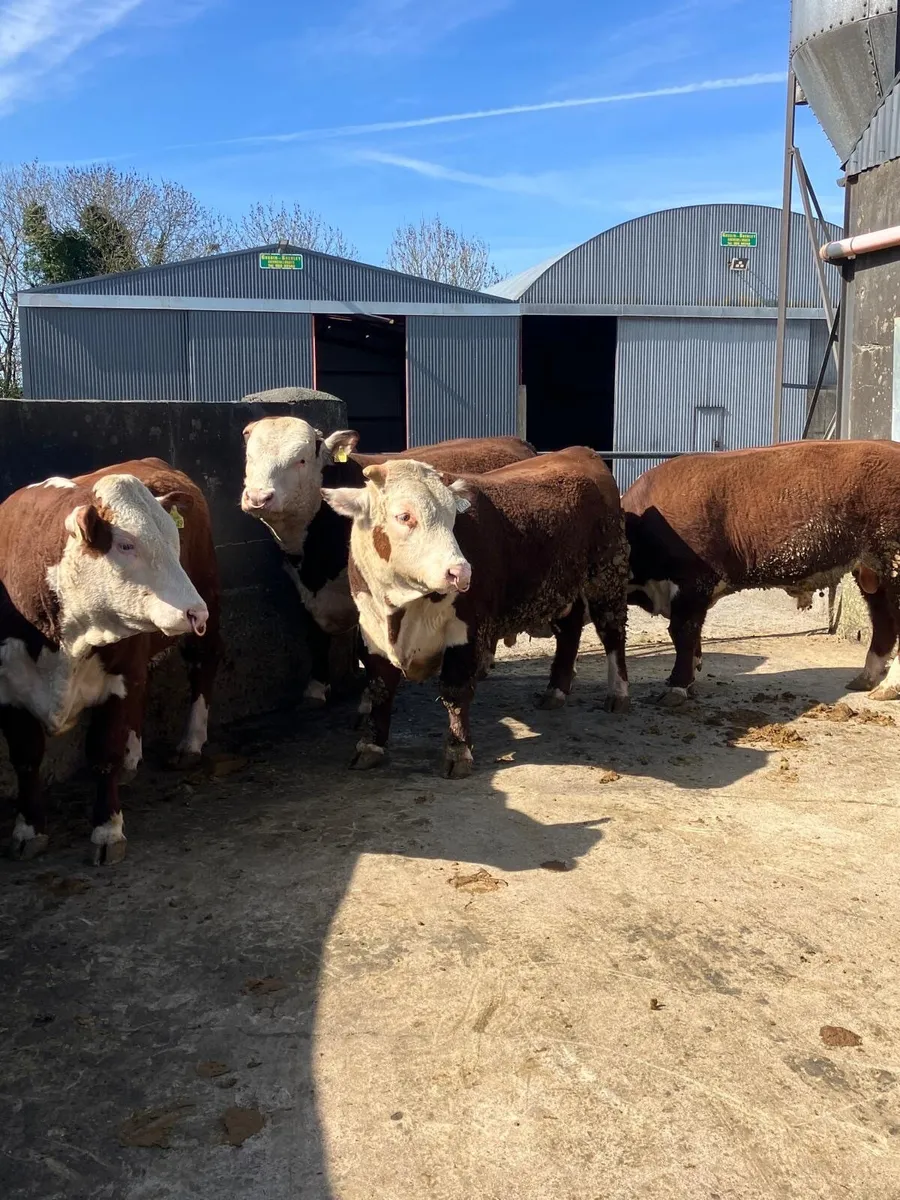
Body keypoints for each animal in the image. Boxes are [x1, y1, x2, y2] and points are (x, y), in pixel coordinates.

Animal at [1, 458, 219, 863]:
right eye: (126, 543)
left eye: (174, 541)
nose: (194, 611)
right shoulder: (8, 689)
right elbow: (25, 758)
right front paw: (28, 829)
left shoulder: (118, 678)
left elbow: (104, 753)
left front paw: (107, 830)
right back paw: (134, 758)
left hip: (207, 598)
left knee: (202, 667)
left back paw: (190, 744)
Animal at [240, 418, 535, 707]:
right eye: (249, 457)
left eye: (300, 460)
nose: (258, 497)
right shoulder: (306, 593)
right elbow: (315, 637)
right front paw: (316, 687)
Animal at [322, 447, 630, 777]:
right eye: (404, 516)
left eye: (453, 517)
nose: (461, 572)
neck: (401, 609)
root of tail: (580, 452)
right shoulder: (372, 630)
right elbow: (380, 688)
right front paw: (371, 745)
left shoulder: (467, 629)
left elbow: (455, 691)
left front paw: (458, 751)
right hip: (562, 587)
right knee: (569, 632)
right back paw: (555, 691)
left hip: (607, 576)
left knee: (612, 633)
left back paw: (618, 694)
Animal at [623, 439, 900, 705]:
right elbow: (692, 638)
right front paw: (686, 682)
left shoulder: (692, 583)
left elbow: (683, 633)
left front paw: (676, 688)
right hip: (872, 571)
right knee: (883, 620)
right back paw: (866, 679)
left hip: (892, 562)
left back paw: (888, 687)